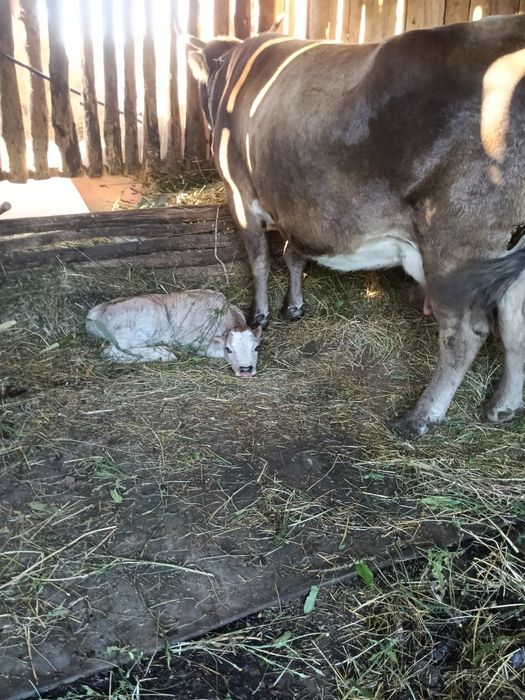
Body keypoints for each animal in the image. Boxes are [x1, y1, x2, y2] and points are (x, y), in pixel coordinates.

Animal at [86, 290, 262, 378]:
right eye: (228, 349)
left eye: (256, 348)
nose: (246, 370)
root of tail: (95, 312)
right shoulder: (196, 342)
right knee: (111, 351)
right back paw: (164, 353)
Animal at [188, 15, 525, 437]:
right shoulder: (299, 208)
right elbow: (293, 255)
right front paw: (293, 306)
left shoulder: (241, 194)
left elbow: (261, 260)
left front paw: (260, 314)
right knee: (515, 326)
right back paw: (502, 406)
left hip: (454, 244)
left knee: (465, 335)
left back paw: (420, 417)